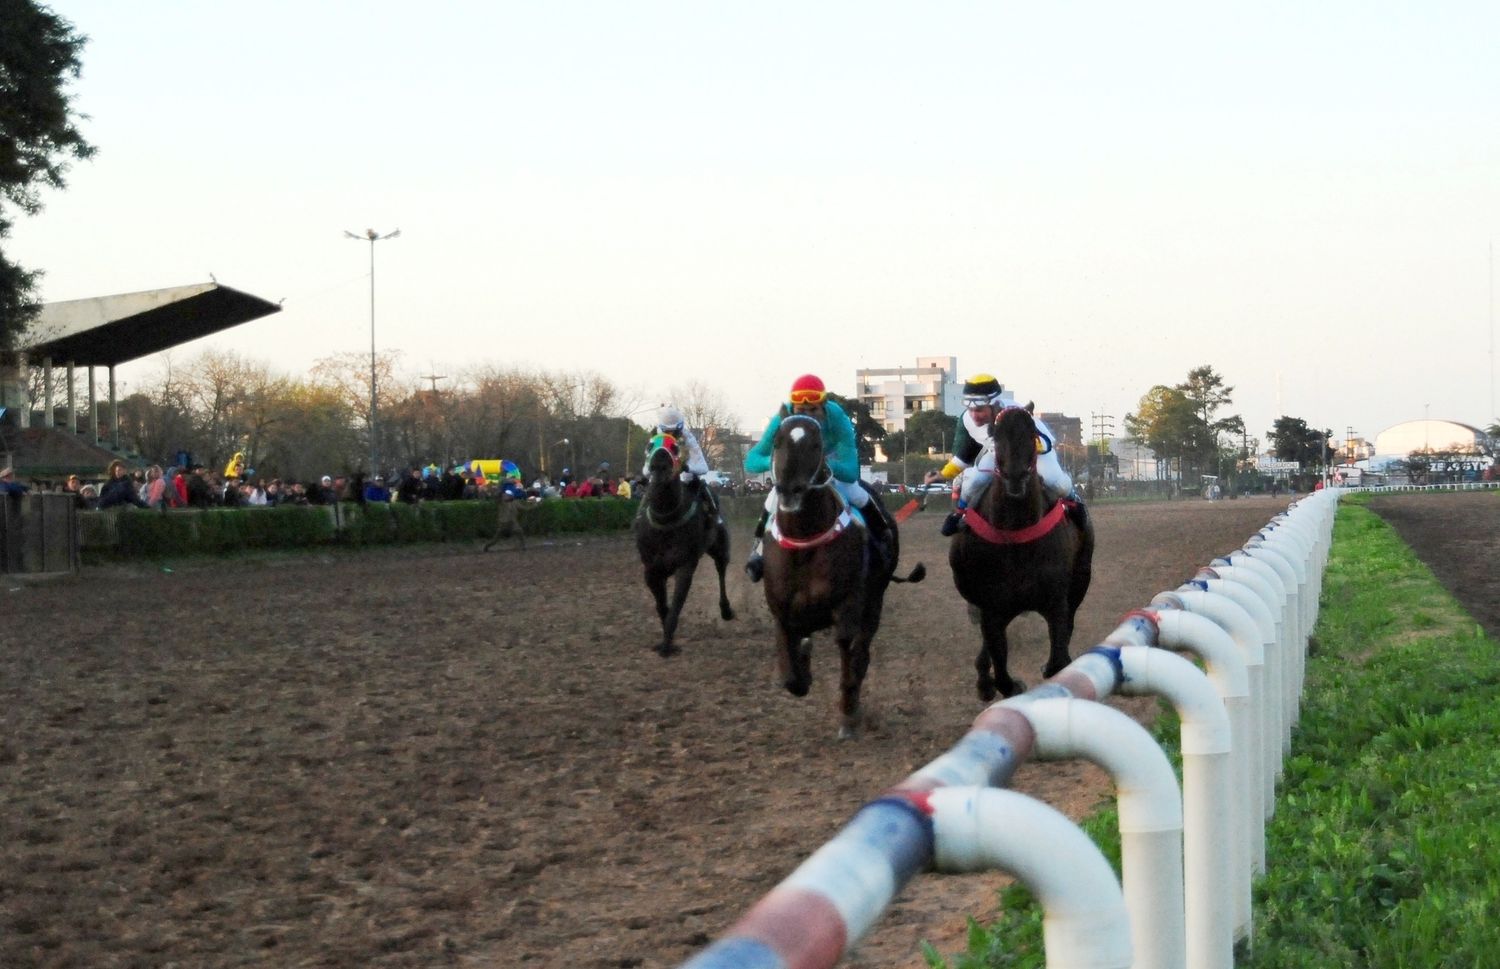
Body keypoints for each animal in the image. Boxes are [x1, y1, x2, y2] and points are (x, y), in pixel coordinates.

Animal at [630, 435, 735, 657]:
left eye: (675, 447)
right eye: (650, 445)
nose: (659, 463)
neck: (666, 519)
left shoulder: (685, 565)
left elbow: (676, 605)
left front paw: (667, 645)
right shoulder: (651, 569)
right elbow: (662, 606)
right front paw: (667, 641)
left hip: (720, 548)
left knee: (721, 571)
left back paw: (726, 610)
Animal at [762, 414, 924, 741]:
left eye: (816, 444)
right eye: (776, 441)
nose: (789, 491)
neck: (804, 542)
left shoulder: (847, 605)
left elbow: (850, 654)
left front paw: (848, 715)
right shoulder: (782, 614)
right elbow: (792, 677)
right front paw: (802, 662)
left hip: (874, 600)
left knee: (862, 653)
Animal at [954, 402, 1098, 699]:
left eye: (1031, 433)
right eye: (996, 437)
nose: (1016, 477)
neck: (1015, 535)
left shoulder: (1056, 603)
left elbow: (1058, 660)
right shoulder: (992, 608)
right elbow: (1002, 673)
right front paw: (998, 682)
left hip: (1081, 579)